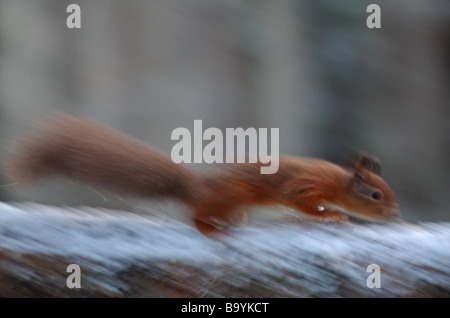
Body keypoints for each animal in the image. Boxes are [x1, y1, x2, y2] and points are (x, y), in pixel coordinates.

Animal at [2, 114, 398, 236]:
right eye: (375, 195)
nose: (395, 215)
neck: (338, 183)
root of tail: (194, 188)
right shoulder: (306, 185)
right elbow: (305, 203)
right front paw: (334, 215)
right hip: (230, 194)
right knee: (196, 215)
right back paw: (211, 226)